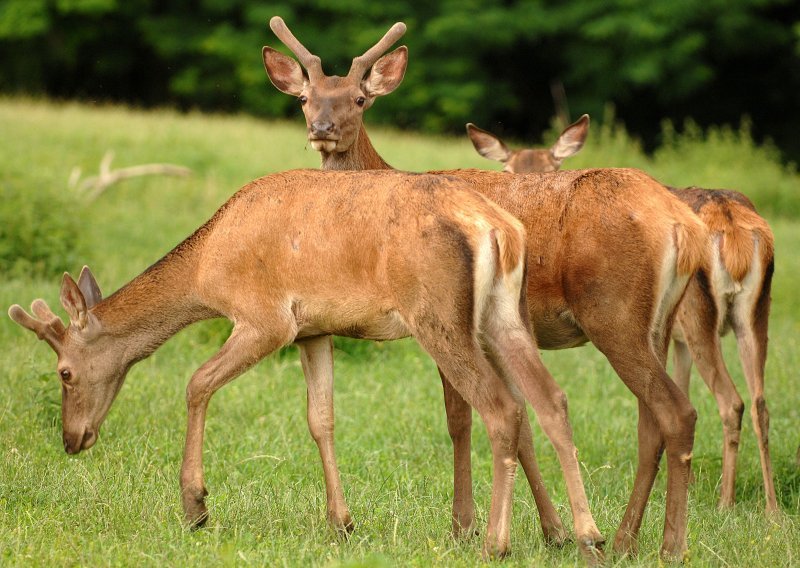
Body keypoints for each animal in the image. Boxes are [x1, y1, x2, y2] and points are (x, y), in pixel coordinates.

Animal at [4, 169, 600, 560]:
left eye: (63, 372)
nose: (72, 439)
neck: (205, 271)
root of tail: (500, 229)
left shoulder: (266, 319)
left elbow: (196, 382)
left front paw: (195, 505)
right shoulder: (314, 330)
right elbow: (321, 419)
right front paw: (342, 522)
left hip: (437, 315)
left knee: (502, 409)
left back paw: (497, 543)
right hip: (505, 314)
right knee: (550, 399)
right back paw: (585, 534)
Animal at [262, 15, 708, 560]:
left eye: (359, 99)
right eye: (306, 98)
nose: (322, 129)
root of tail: (683, 226)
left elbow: (461, 420)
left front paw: (465, 525)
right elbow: (523, 425)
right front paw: (550, 530)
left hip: (614, 312)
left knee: (675, 412)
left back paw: (665, 545)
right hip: (658, 322)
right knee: (651, 422)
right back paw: (629, 538)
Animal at [466, 118, 780, 516]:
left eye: (554, 168)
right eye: (507, 169)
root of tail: (734, 227)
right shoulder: (675, 340)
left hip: (688, 316)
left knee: (729, 401)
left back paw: (725, 501)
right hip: (753, 312)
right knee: (758, 402)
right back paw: (771, 510)